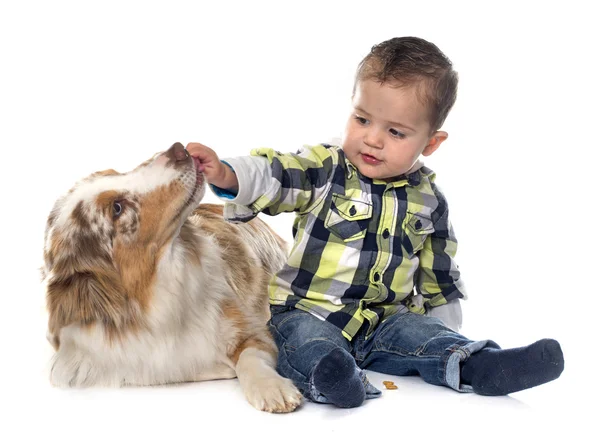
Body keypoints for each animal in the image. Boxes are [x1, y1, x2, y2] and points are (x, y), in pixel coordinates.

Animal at [41, 142, 302, 412]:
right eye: (117, 208)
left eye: (115, 172)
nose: (178, 149)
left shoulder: (252, 328)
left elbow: (251, 356)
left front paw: (271, 387)